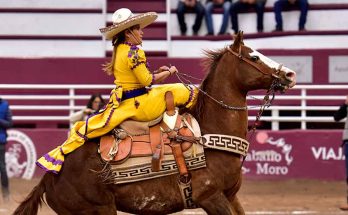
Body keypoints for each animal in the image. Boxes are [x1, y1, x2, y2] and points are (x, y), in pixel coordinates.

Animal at [14, 31, 296, 215]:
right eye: (254, 57)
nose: (290, 74)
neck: (208, 135)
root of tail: (50, 176)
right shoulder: (212, 198)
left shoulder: (231, 196)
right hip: (98, 210)